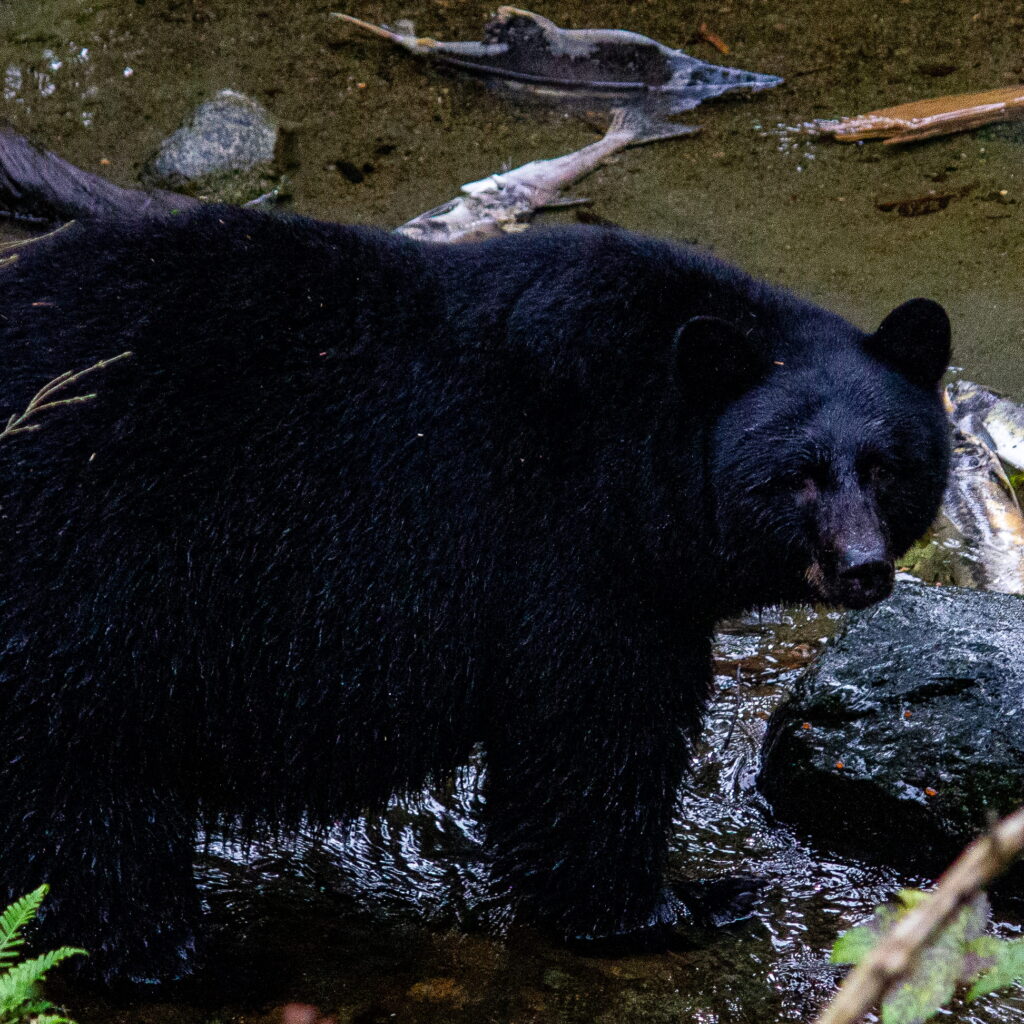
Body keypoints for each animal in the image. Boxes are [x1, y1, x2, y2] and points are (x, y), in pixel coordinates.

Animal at [0, 205, 951, 983]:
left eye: (886, 465)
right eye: (795, 476)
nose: (861, 566)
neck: (646, 439)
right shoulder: (574, 551)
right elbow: (589, 737)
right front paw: (677, 904)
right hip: (83, 592)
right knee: (86, 812)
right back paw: (155, 954)